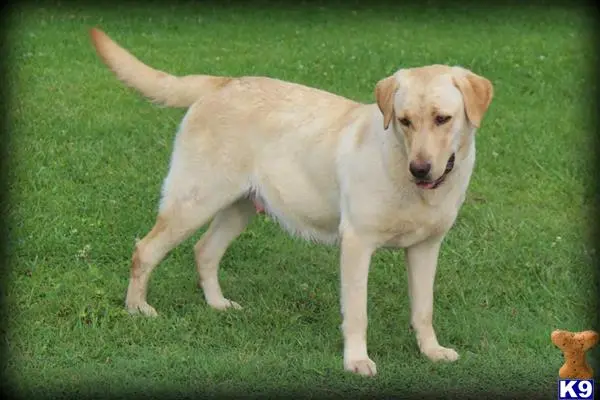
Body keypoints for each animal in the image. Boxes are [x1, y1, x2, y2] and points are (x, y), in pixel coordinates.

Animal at [90, 28, 492, 378]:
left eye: (442, 118)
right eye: (405, 121)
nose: (420, 169)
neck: (406, 174)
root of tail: (223, 82)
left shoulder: (426, 248)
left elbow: (424, 309)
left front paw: (431, 351)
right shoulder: (357, 243)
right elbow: (357, 312)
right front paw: (356, 361)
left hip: (238, 207)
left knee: (204, 250)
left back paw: (218, 304)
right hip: (194, 201)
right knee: (145, 249)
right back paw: (138, 309)